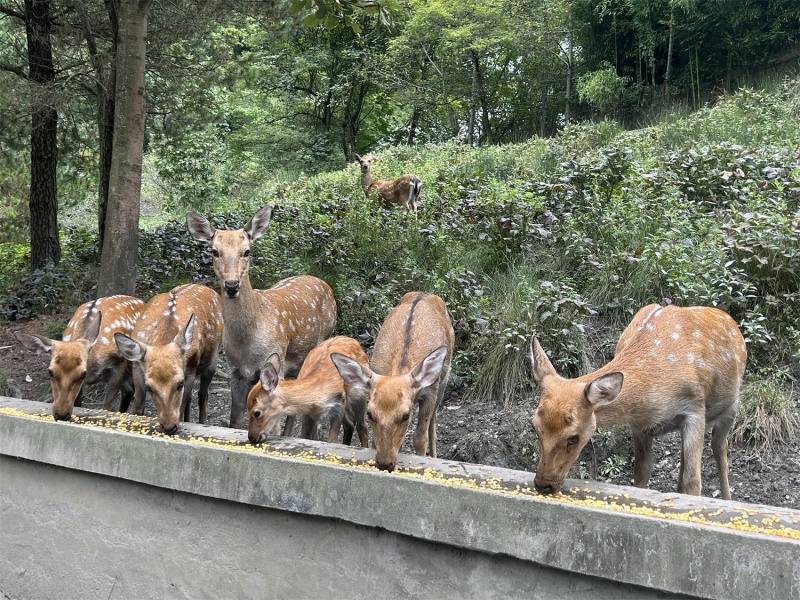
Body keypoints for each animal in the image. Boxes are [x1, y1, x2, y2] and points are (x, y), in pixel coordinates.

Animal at [14, 295, 144, 421]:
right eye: (50, 372)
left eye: (83, 374)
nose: (61, 415)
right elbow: (78, 404)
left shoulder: (120, 364)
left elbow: (107, 407)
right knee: (129, 390)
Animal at [114, 284, 223, 435]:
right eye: (150, 388)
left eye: (180, 383)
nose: (169, 427)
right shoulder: (137, 367)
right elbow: (138, 406)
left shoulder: (190, 369)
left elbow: (181, 406)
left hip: (214, 358)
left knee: (203, 395)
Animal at [186, 206, 337, 430]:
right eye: (214, 251)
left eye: (247, 251)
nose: (232, 285)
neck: (248, 343)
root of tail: (326, 285)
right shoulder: (236, 372)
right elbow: (234, 421)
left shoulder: (276, 361)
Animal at [332, 292, 454, 472]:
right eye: (370, 414)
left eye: (406, 415)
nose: (384, 463)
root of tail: (423, 293)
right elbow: (375, 440)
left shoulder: (430, 390)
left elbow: (420, 438)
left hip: (444, 378)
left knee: (433, 420)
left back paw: (434, 455)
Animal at [529, 303, 747, 500]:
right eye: (535, 427)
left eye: (574, 437)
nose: (543, 484)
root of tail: (730, 320)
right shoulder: (639, 427)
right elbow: (641, 474)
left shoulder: (695, 409)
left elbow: (693, 481)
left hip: (732, 406)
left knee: (720, 447)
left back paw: (727, 498)